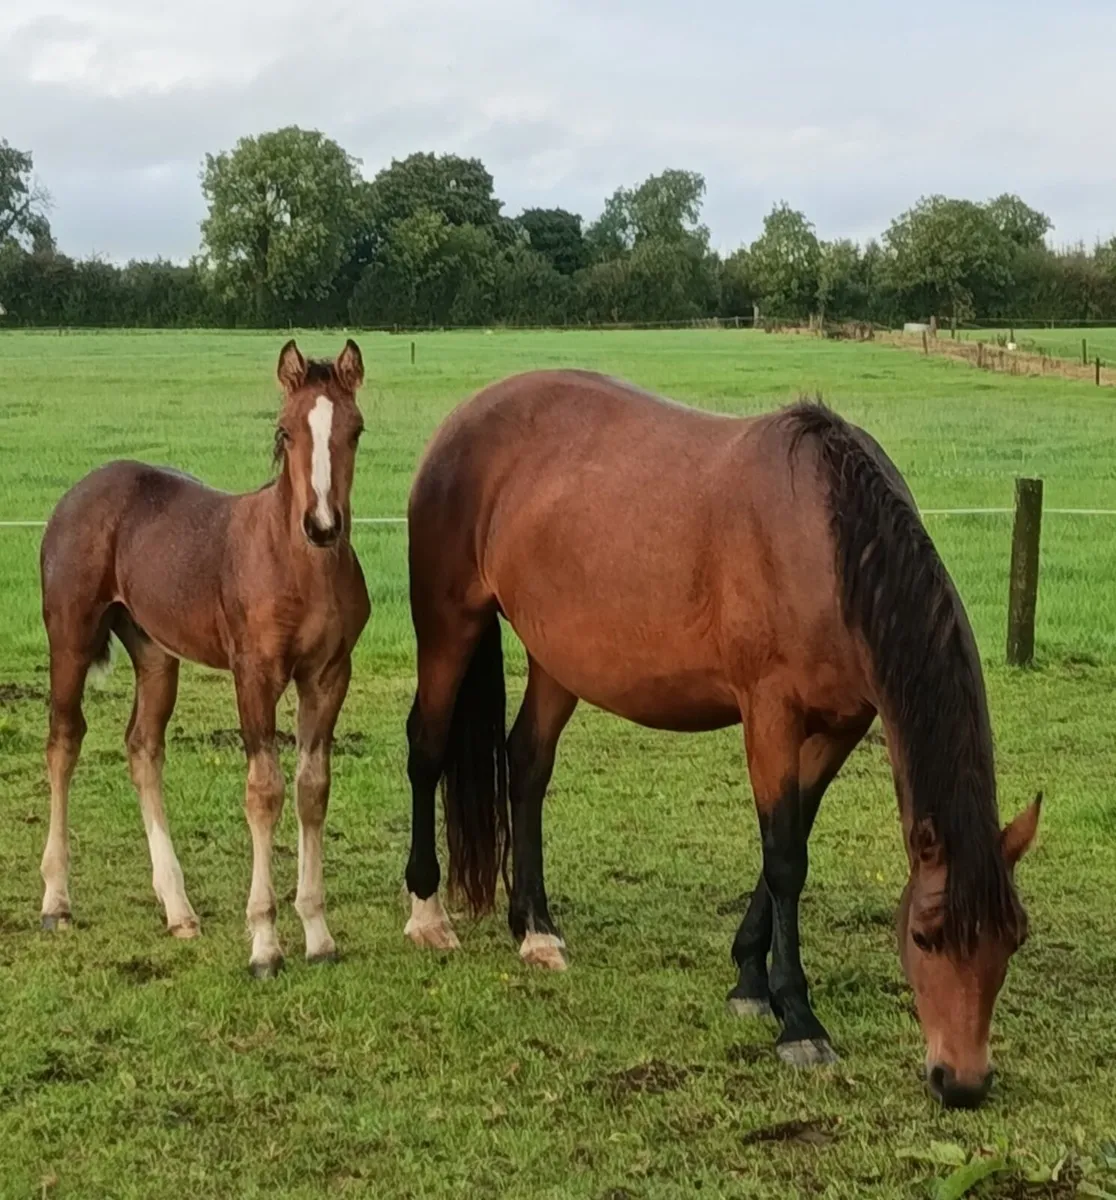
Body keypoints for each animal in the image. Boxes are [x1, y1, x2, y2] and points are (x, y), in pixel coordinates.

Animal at [38, 339, 370, 977]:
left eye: (355, 430)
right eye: (285, 430)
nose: (322, 526)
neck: (298, 564)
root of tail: (78, 492)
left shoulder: (327, 675)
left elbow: (312, 789)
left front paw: (318, 936)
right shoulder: (254, 674)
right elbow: (264, 791)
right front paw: (264, 944)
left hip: (155, 654)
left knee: (143, 748)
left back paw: (179, 910)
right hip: (69, 639)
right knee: (64, 743)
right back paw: (56, 902)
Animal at [401, 368, 1041, 1109]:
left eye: (1013, 937)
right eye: (925, 935)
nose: (962, 1082)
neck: (828, 539)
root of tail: (462, 418)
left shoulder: (843, 725)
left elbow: (788, 843)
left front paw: (750, 981)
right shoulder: (770, 712)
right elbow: (786, 857)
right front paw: (798, 1020)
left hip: (556, 659)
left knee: (527, 764)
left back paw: (536, 929)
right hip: (449, 623)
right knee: (426, 748)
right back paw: (427, 915)